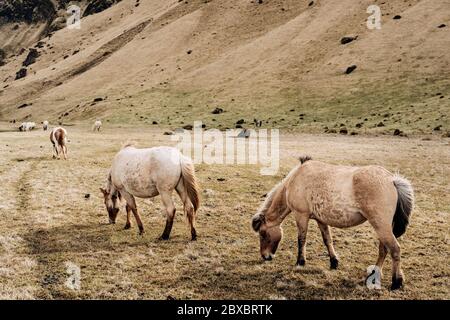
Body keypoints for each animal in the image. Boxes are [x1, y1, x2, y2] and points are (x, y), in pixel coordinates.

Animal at [251, 157, 414, 290]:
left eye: (263, 234)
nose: (265, 256)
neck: (295, 180)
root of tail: (392, 180)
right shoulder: (321, 220)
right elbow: (327, 240)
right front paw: (334, 262)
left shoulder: (301, 216)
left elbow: (301, 240)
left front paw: (300, 262)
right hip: (383, 227)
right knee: (384, 250)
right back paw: (374, 275)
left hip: (381, 226)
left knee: (394, 249)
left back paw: (396, 282)